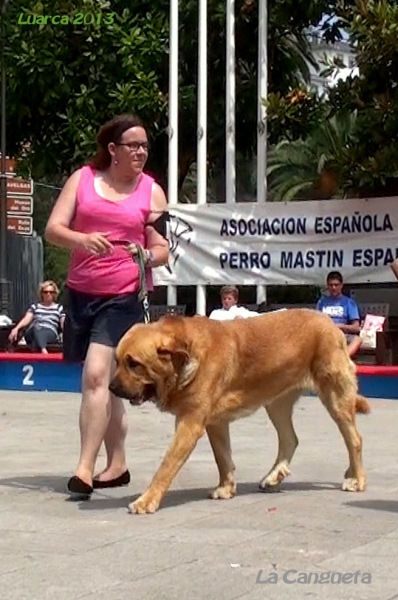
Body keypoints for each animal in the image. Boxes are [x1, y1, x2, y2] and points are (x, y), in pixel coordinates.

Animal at [109, 308, 370, 512]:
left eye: (134, 364)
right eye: (117, 361)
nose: (111, 387)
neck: (185, 357)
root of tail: (331, 323)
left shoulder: (190, 423)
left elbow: (167, 464)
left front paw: (146, 501)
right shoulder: (215, 424)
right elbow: (222, 457)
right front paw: (226, 488)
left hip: (335, 397)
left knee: (355, 439)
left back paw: (356, 479)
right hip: (276, 402)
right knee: (291, 439)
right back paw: (275, 476)